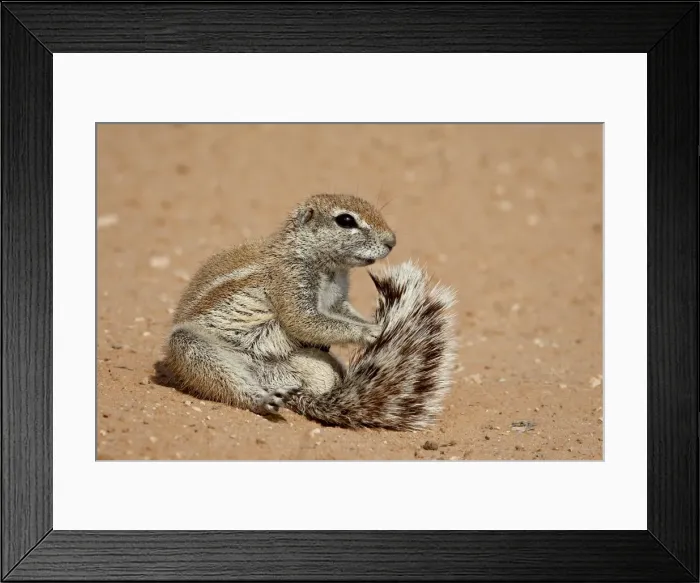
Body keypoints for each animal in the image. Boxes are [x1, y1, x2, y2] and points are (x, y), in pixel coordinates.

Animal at [159, 193, 457, 431]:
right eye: (346, 221)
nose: (392, 241)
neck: (328, 268)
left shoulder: (337, 301)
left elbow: (338, 315)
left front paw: (369, 323)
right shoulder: (289, 281)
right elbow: (304, 321)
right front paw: (369, 331)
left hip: (310, 367)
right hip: (192, 348)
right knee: (228, 383)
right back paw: (261, 399)